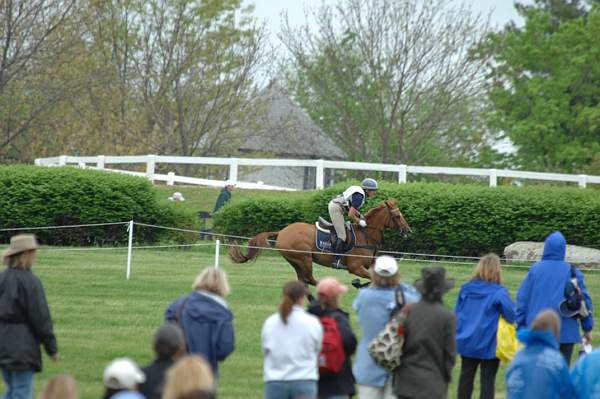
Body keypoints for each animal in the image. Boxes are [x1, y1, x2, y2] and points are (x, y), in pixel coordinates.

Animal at [229, 202, 412, 286]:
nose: (408, 230)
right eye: (397, 216)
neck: (367, 235)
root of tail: (282, 231)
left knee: (303, 279)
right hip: (304, 258)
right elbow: (371, 278)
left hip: (296, 261)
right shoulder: (355, 268)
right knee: (309, 279)